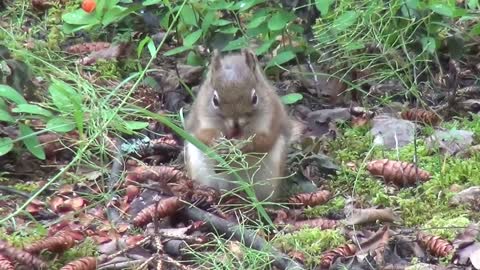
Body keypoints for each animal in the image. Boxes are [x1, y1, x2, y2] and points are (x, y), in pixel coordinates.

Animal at [185, 48, 292, 200]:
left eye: (255, 98)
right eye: (215, 100)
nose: (236, 123)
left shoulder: (272, 119)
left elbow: (264, 141)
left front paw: (242, 145)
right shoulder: (199, 118)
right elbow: (203, 135)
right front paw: (218, 143)